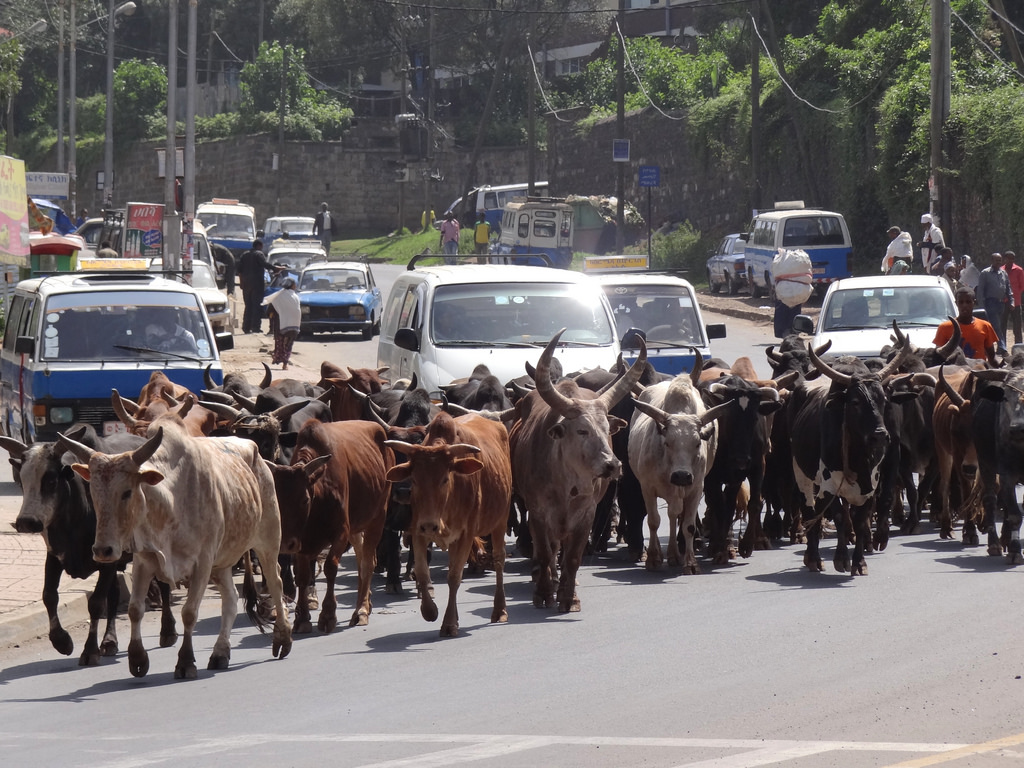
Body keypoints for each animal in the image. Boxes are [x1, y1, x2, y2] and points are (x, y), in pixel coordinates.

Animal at [280, 417, 391, 634]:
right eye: (277, 500)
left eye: (305, 500)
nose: (286, 544)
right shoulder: (302, 542)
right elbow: (302, 576)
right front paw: (302, 618)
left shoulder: (341, 533)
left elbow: (331, 567)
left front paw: (328, 615)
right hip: (356, 527)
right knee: (362, 559)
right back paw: (365, 604)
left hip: (377, 518)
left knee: (367, 563)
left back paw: (361, 611)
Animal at [385, 411, 512, 638]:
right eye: (414, 479)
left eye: (445, 478)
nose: (430, 525)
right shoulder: (419, 531)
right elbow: (422, 572)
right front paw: (430, 611)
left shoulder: (466, 534)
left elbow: (454, 577)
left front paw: (450, 623)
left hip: (500, 520)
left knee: (499, 560)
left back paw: (499, 610)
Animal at [512, 329, 647, 614]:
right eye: (582, 430)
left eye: (607, 428)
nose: (613, 465)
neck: (567, 485)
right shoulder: (538, 513)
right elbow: (545, 552)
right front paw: (544, 594)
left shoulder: (586, 514)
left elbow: (573, 557)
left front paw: (569, 598)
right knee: (550, 550)